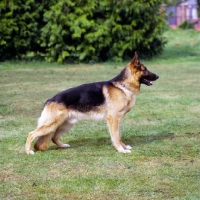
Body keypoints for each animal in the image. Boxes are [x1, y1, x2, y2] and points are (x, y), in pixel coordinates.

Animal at [25, 52, 159, 154]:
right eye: (145, 70)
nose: (158, 76)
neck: (123, 86)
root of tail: (49, 100)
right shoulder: (113, 119)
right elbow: (116, 137)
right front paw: (121, 150)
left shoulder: (118, 120)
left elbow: (119, 136)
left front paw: (124, 147)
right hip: (51, 124)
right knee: (31, 134)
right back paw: (28, 151)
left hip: (66, 124)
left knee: (53, 137)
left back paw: (62, 146)